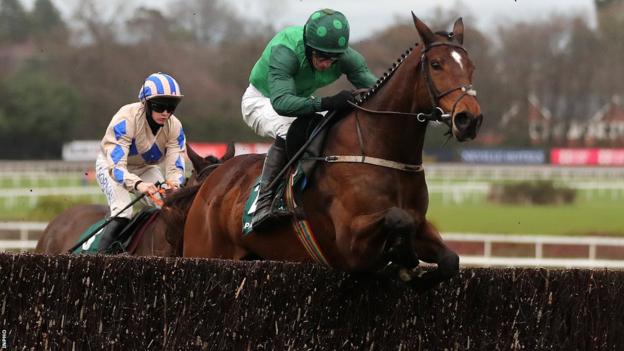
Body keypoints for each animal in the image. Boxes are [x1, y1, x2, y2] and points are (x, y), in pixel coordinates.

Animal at [182, 15, 482, 290]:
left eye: (471, 66)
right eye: (436, 64)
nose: (469, 119)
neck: (380, 149)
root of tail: (213, 179)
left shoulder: (421, 225)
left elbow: (449, 259)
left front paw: (408, 267)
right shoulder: (350, 245)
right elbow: (398, 217)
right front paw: (403, 259)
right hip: (204, 250)